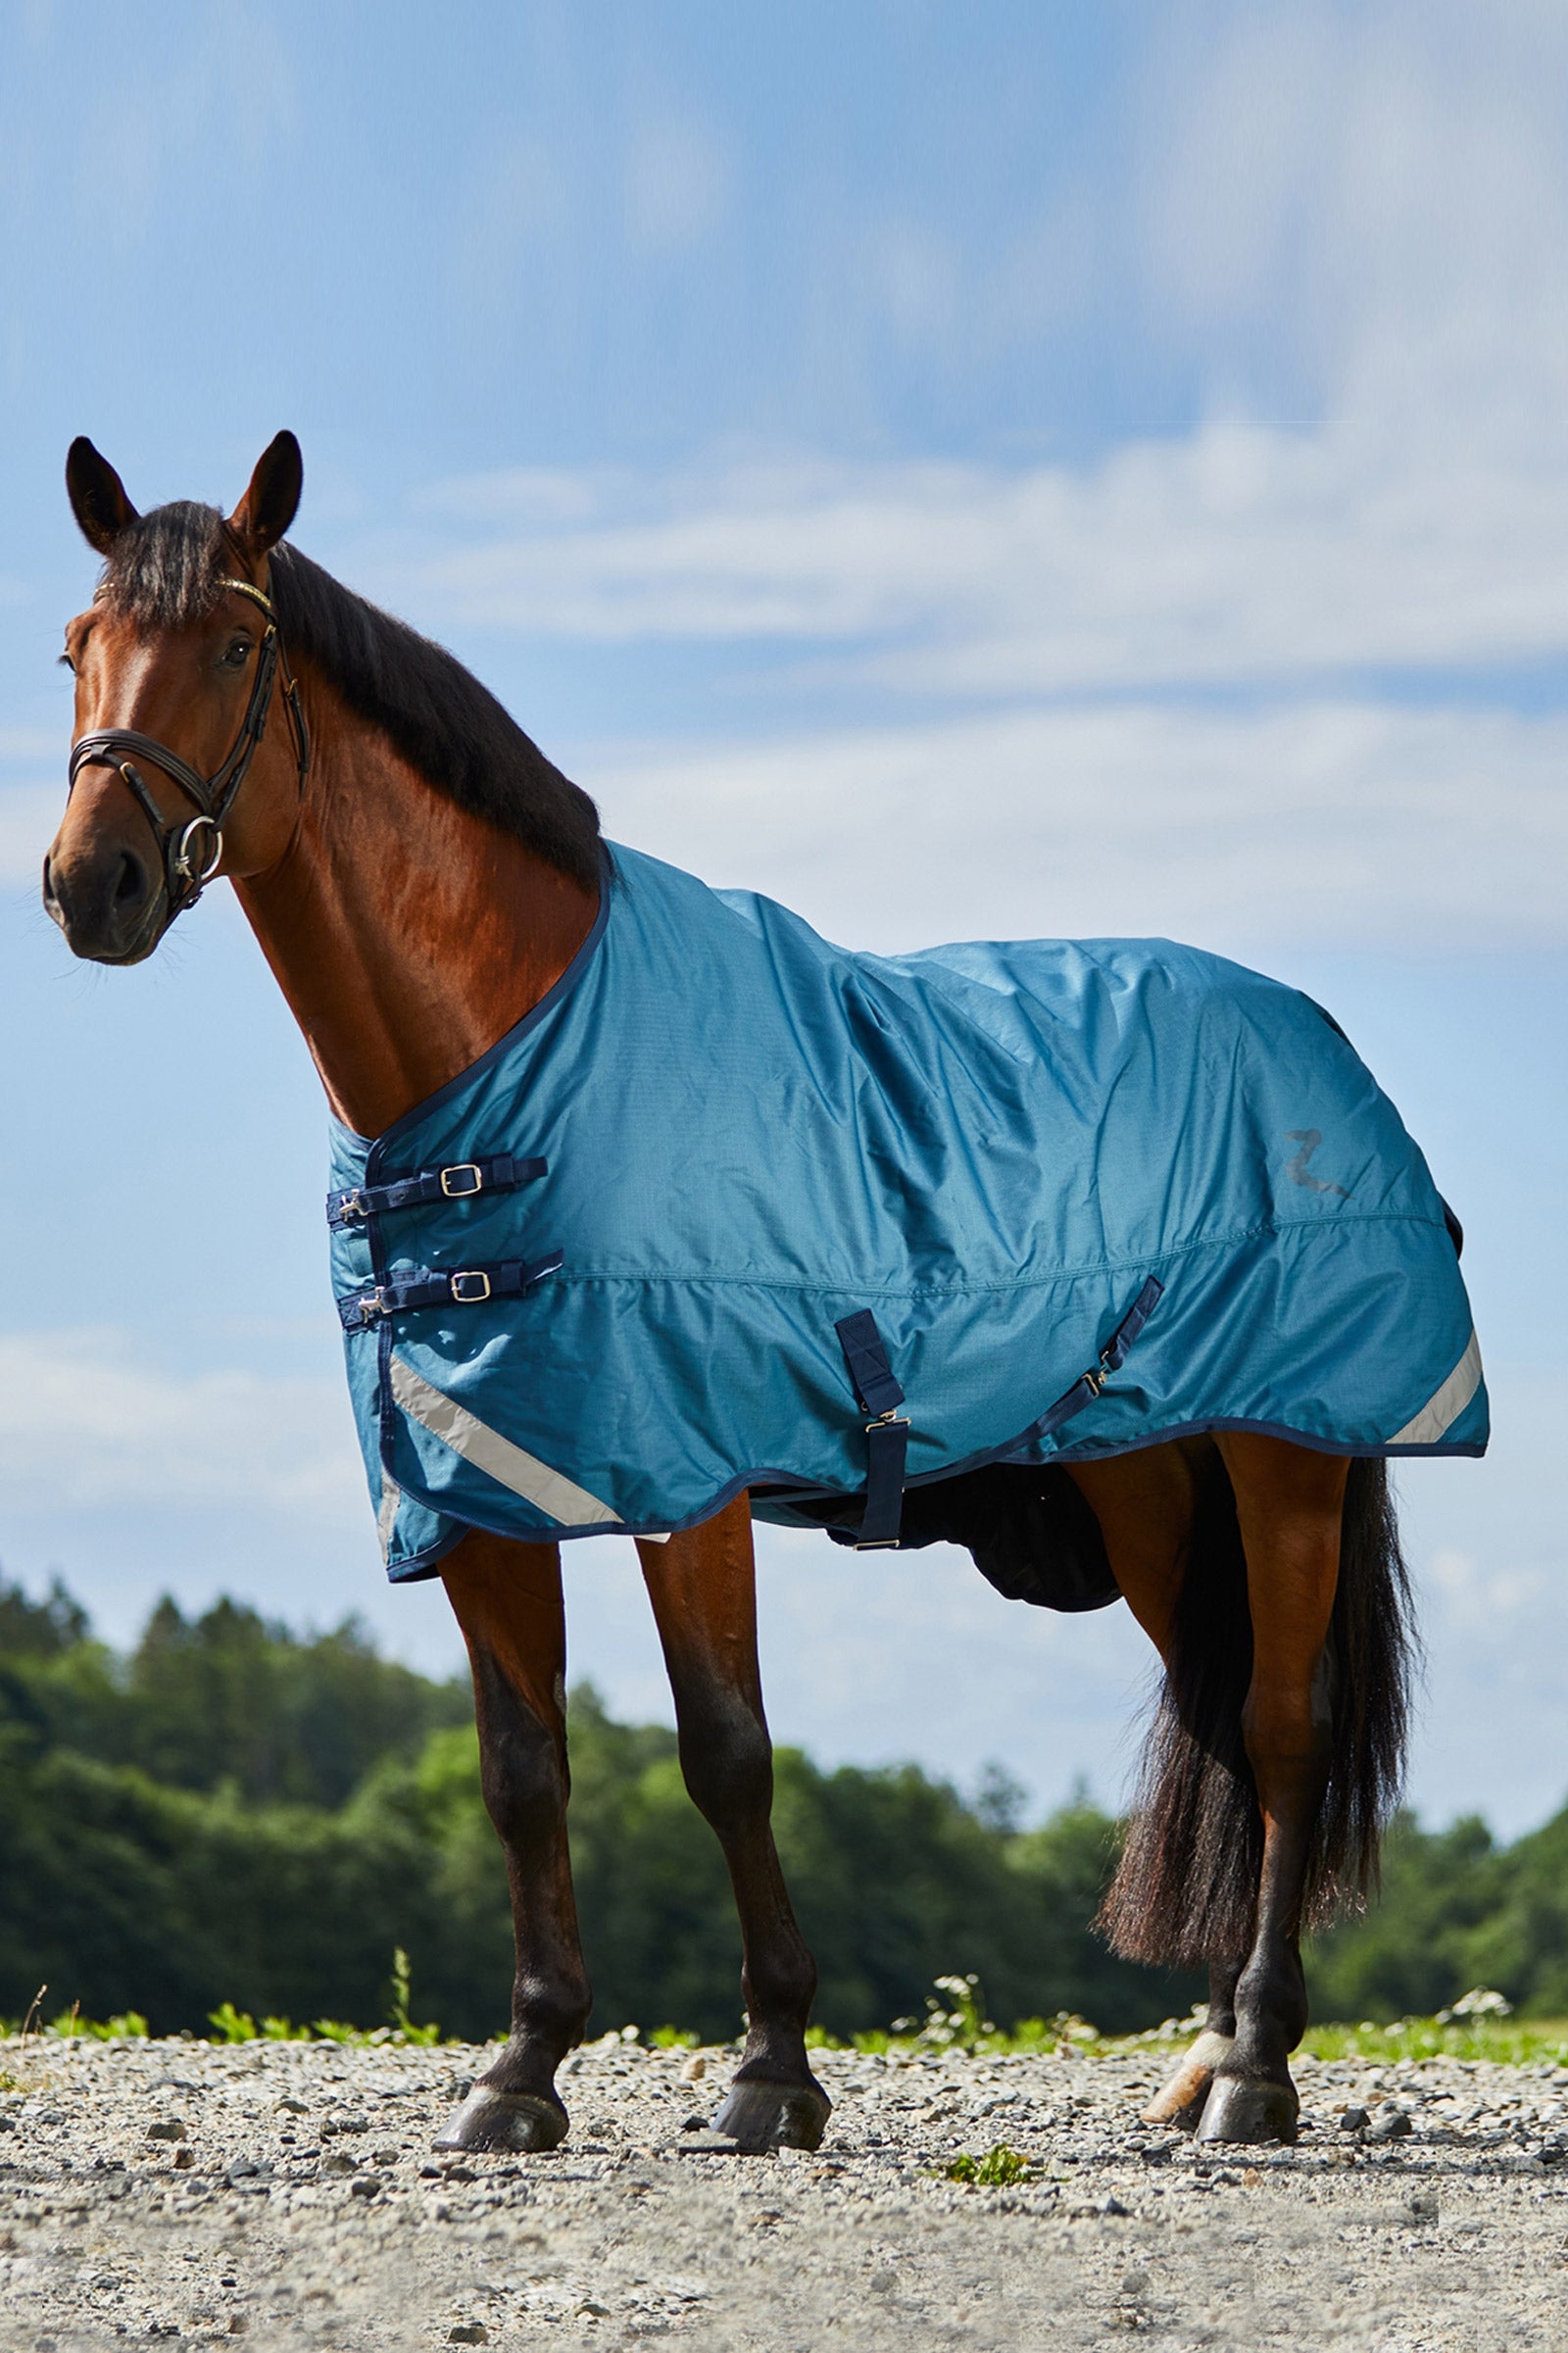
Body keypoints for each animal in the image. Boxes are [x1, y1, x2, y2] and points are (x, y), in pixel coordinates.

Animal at [44, 432, 1478, 2157]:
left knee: (1278, 1729)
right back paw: (1202, 2057)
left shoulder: (689, 1478)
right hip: (1147, 1478)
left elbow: (727, 1752)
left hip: (1286, 1459)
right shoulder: (479, 1487)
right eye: (75, 649)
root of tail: (1314, 1034)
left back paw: (1255, 2064)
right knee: (1215, 1716)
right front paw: (522, 2065)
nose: (93, 885)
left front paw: (772, 2065)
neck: (502, 1054)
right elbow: (521, 1770)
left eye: (234, 648)